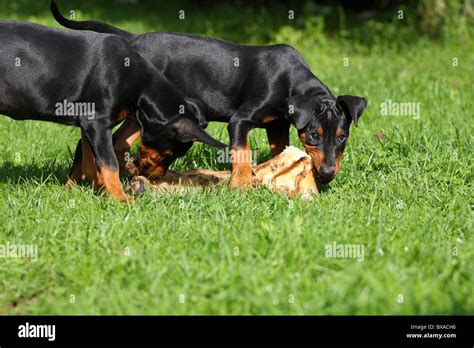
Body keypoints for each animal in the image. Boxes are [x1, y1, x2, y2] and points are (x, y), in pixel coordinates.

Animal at [0, 21, 226, 201]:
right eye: (169, 153)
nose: (157, 177)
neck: (138, 82)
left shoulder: (88, 124)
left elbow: (89, 162)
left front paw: (93, 189)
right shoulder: (97, 122)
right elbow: (110, 164)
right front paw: (120, 198)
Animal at [52, 1, 366, 188]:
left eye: (342, 137)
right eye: (313, 134)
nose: (328, 173)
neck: (292, 80)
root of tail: (134, 39)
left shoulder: (277, 126)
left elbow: (281, 153)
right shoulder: (240, 120)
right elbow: (242, 153)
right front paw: (241, 187)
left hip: (144, 115)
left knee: (118, 144)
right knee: (90, 142)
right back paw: (78, 184)